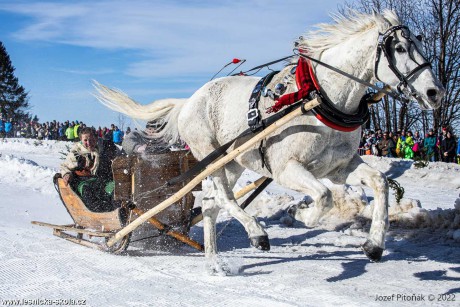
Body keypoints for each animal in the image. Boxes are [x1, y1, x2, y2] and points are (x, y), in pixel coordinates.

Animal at [94, 9, 446, 270]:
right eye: (399, 48)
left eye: (418, 42)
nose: (435, 92)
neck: (320, 98)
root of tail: (189, 100)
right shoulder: (286, 168)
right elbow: (323, 197)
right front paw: (301, 214)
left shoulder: (339, 167)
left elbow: (380, 182)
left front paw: (373, 245)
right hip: (211, 156)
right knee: (223, 198)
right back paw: (256, 233)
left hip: (233, 161)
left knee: (210, 205)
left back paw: (214, 263)